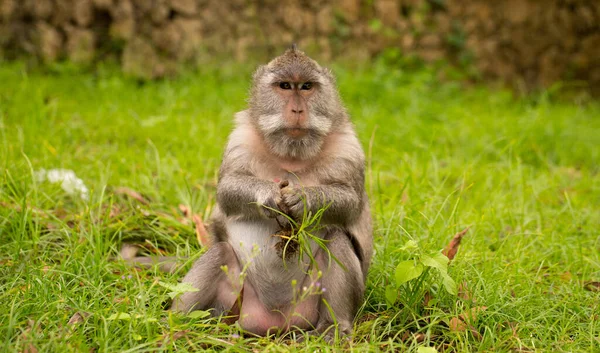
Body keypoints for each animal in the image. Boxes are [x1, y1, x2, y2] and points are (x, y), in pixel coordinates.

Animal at [125, 45, 372, 340]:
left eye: (307, 86)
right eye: (285, 86)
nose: (297, 109)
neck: (292, 155)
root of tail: (276, 324)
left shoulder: (348, 147)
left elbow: (351, 202)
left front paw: (303, 199)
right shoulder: (240, 138)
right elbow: (227, 191)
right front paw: (268, 196)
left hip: (307, 307)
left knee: (336, 239)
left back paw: (335, 326)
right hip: (233, 303)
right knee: (220, 252)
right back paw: (179, 323)